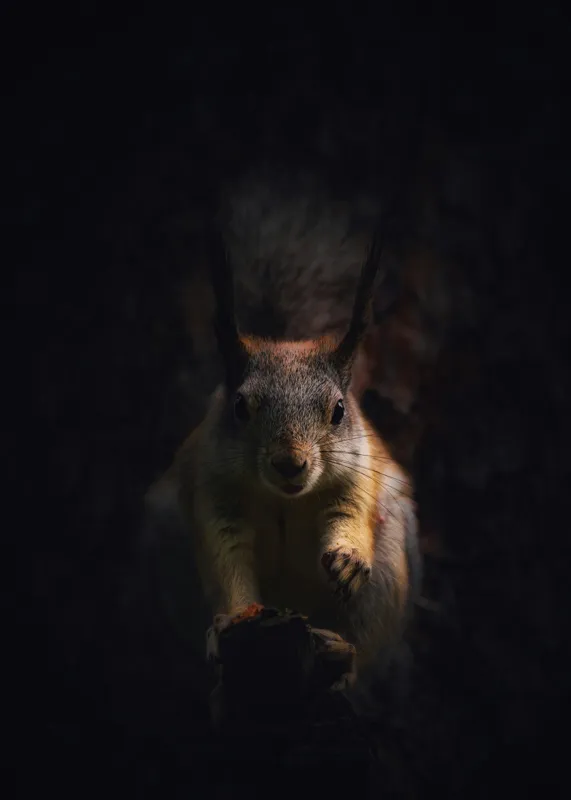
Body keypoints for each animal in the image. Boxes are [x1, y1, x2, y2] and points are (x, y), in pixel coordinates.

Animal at [150, 228, 421, 689]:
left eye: (339, 410)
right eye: (240, 407)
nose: (290, 464)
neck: (284, 498)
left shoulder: (358, 475)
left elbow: (348, 514)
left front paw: (348, 558)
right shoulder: (213, 488)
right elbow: (227, 557)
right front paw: (236, 617)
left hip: (387, 579)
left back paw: (340, 653)